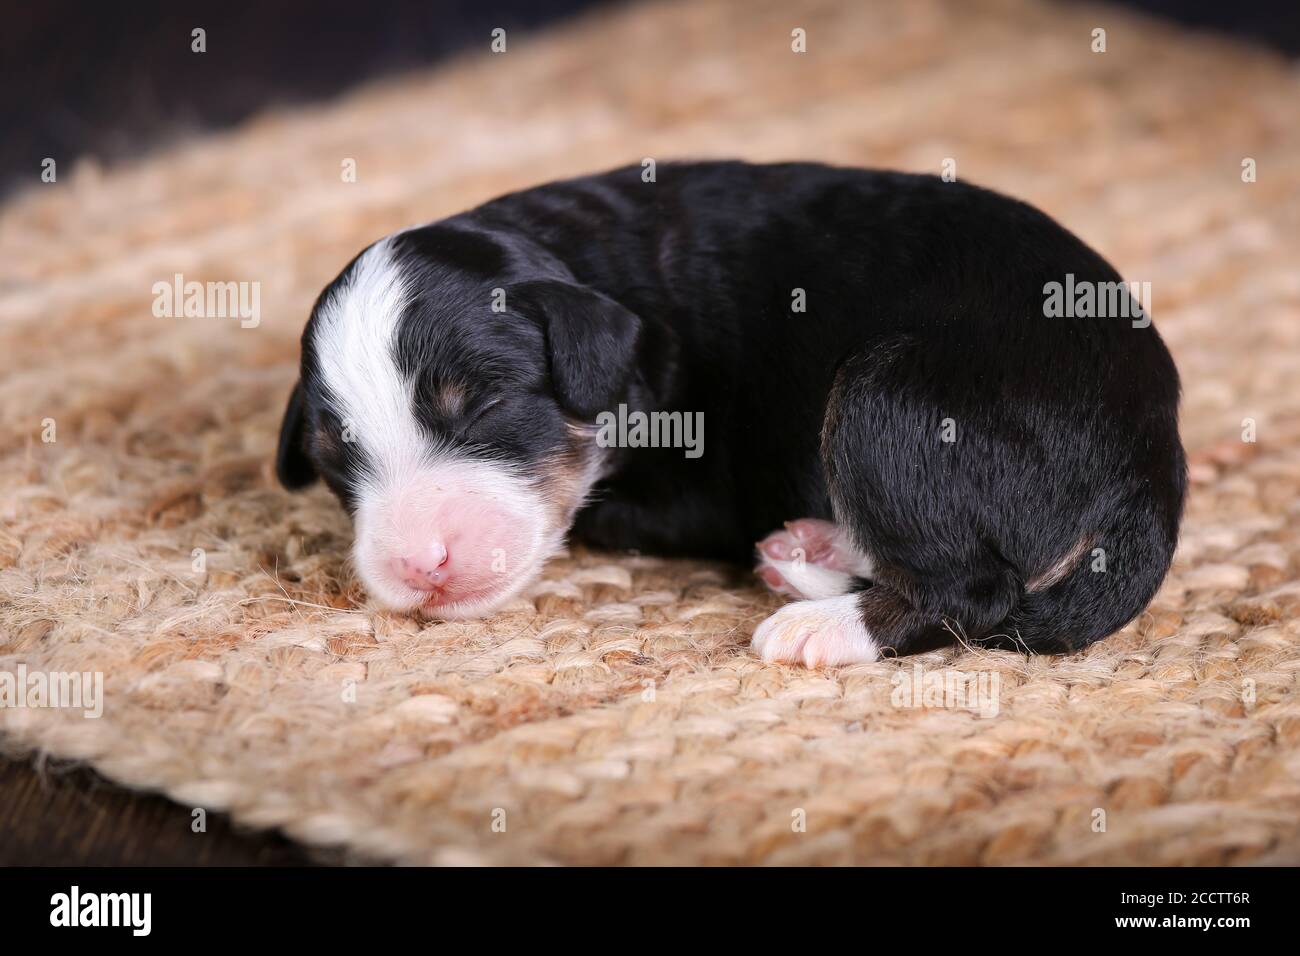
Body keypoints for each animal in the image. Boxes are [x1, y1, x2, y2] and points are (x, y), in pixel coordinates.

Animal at [276, 160, 1190, 665]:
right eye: (333, 458)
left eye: (486, 406)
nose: (416, 567)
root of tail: (1153, 460)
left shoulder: (698, 483)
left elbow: (603, 512)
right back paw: (812, 549)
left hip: (884, 397)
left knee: (973, 587)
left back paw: (821, 626)